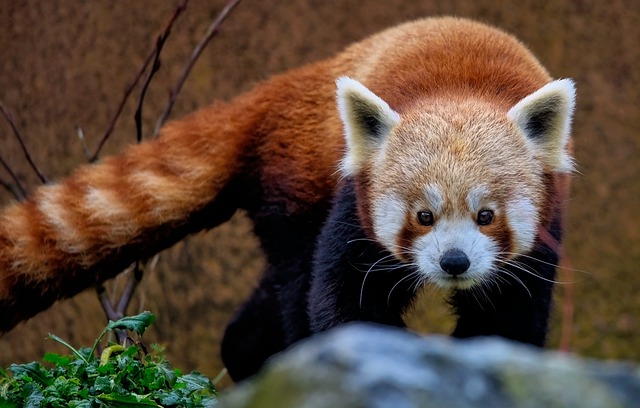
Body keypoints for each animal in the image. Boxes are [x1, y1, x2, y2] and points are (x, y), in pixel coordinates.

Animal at [0, 15, 572, 380]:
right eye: (423, 216)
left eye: (486, 215)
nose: (454, 262)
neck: (460, 88)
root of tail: (279, 89)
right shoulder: (352, 200)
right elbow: (341, 296)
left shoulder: (545, 224)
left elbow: (507, 316)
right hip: (297, 185)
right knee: (297, 279)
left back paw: (247, 354)